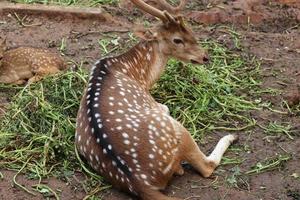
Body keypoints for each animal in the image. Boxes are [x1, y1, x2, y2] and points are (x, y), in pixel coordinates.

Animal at [75, 0, 239, 199]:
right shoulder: (155, 105)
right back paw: (230, 136)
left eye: (190, 30)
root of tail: (141, 184)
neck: (139, 76)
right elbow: (166, 107)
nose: (205, 57)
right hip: (176, 129)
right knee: (207, 167)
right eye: (177, 39)